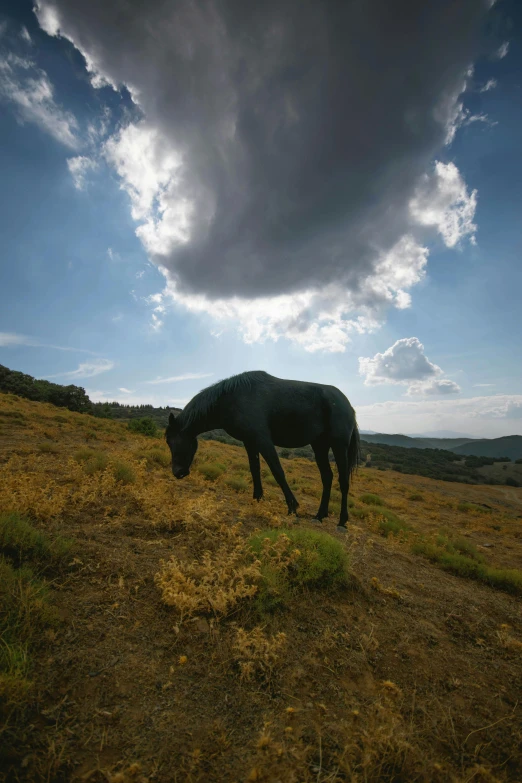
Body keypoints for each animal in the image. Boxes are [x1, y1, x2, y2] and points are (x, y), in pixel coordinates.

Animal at [165, 370, 360, 528]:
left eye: (177, 441)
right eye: (168, 442)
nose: (177, 472)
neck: (233, 399)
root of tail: (348, 405)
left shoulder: (263, 440)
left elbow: (277, 471)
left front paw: (292, 507)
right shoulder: (250, 442)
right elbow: (255, 469)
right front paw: (257, 499)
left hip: (339, 445)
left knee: (343, 481)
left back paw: (342, 521)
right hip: (319, 446)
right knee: (327, 477)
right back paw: (320, 515)